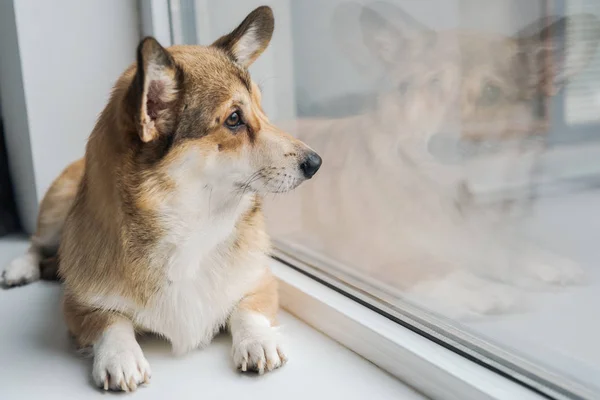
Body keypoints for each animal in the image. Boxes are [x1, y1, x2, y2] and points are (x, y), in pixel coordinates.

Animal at [2, 6, 322, 392]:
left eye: (261, 110)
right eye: (234, 119)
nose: (316, 163)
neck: (194, 225)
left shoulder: (260, 280)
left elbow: (247, 308)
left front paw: (258, 341)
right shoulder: (79, 307)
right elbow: (111, 322)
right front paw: (121, 357)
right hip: (55, 210)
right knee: (36, 243)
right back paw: (19, 269)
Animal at [268, 1, 600, 318]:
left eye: (492, 92)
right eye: (435, 84)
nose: (443, 145)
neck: (451, 189)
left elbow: (504, 248)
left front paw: (540, 260)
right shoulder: (368, 252)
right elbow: (429, 267)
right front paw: (478, 290)